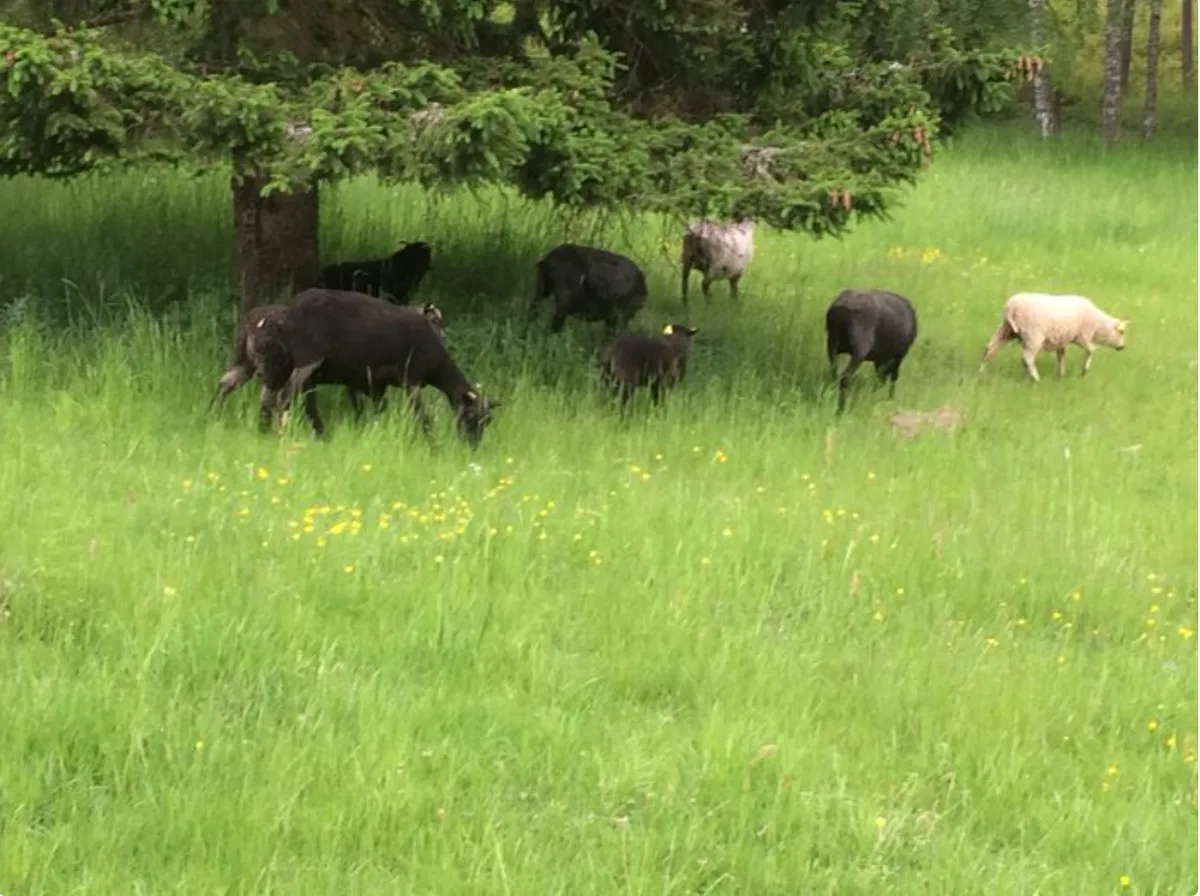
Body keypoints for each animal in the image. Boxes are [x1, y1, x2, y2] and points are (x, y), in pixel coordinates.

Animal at [211, 301, 447, 428]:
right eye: (434, 323)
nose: (444, 342)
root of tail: (251, 323)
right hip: (272, 368)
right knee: (270, 399)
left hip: (247, 363)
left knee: (225, 385)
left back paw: (214, 418)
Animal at [277, 288, 501, 446]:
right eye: (469, 416)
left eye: (488, 421)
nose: (472, 446)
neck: (437, 365)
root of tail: (289, 311)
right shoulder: (411, 379)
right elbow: (422, 416)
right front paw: (434, 446)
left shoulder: (378, 384)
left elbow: (378, 412)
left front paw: (372, 433)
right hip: (308, 360)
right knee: (285, 396)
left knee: (306, 401)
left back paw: (320, 434)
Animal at [978, 292, 1128, 381]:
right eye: (1121, 332)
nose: (1122, 347)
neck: (1098, 325)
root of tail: (1011, 308)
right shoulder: (1081, 336)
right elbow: (1092, 350)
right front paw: (1084, 370)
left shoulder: (1061, 341)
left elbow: (1061, 357)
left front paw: (1061, 375)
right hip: (1033, 336)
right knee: (1027, 358)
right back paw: (1035, 378)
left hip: (1006, 330)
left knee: (989, 349)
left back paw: (981, 372)